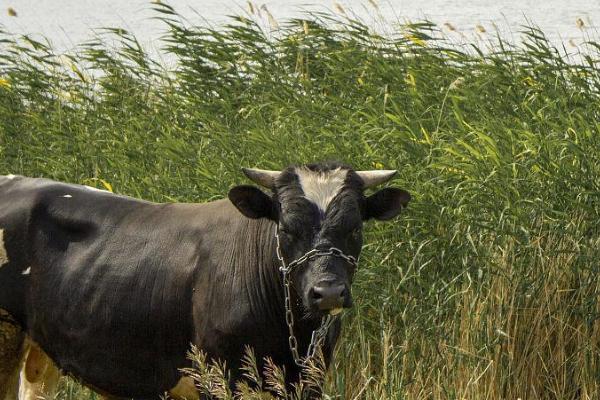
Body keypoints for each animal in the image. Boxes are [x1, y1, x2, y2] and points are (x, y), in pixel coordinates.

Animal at [0, 163, 410, 400]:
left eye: (354, 228)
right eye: (287, 229)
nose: (327, 293)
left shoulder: (312, 377)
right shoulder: (218, 375)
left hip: (41, 349)